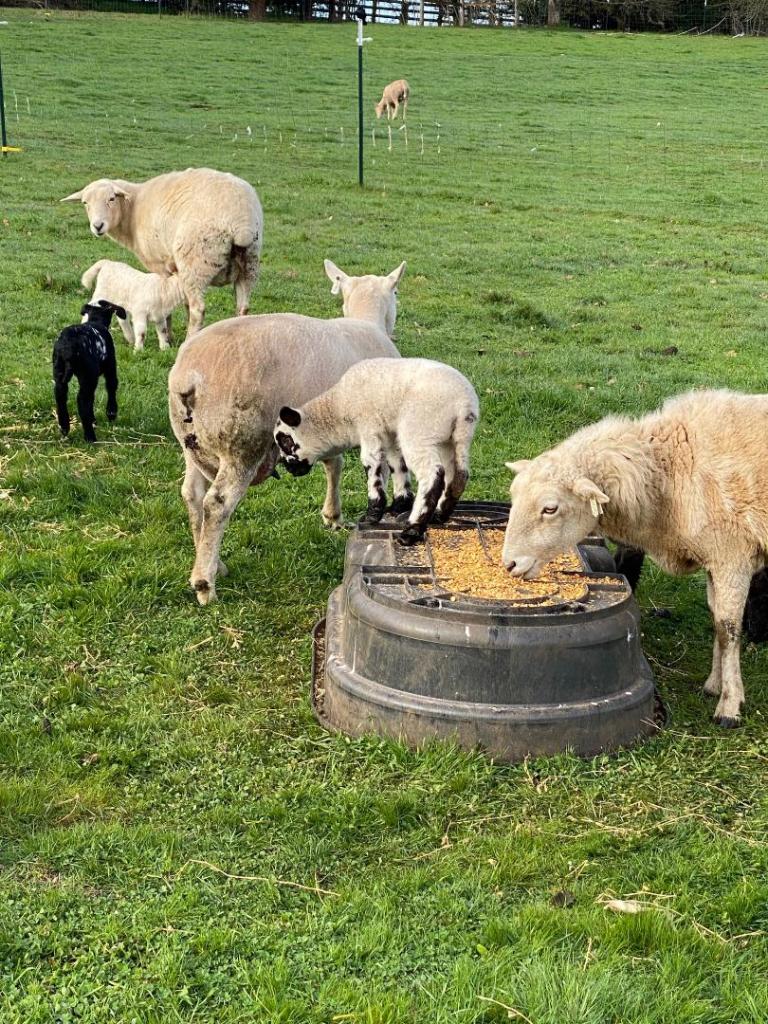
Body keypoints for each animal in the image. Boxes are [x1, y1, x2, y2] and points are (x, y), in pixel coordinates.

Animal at [53, 300, 126, 443]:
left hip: (59, 370)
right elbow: (112, 386)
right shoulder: (110, 365)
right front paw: (111, 413)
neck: (95, 321)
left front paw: (94, 420)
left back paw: (65, 427)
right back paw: (90, 437)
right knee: (83, 400)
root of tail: (68, 346)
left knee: (61, 395)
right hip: (88, 374)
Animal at [61, 168, 263, 339]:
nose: (97, 226)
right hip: (250, 262)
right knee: (243, 307)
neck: (132, 209)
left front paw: (168, 336)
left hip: (197, 262)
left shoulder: (161, 264)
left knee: (198, 309)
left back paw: (189, 338)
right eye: (85, 203)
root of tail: (240, 222)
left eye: (111, 198)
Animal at [168, 259, 407, 605]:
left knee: (192, 494)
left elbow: (334, 465)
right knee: (217, 503)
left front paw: (332, 516)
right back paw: (204, 585)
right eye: (397, 292)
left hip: (192, 443)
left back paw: (212, 562)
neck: (367, 322)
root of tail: (189, 377)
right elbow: (379, 475)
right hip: (244, 443)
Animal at [274, 358, 479, 546]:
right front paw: (398, 505)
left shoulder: (368, 427)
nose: (288, 467)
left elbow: (372, 465)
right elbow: (397, 465)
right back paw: (439, 515)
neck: (338, 407)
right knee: (459, 474)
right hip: (453, 440)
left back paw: (412, 531)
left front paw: (372, 515)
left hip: (419, 430)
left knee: (432, 475)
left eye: (285, 440)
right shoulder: (390, 435)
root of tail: (464, 405)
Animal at [500, 389, 768, 728]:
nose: (508, 564)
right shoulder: (715, 557)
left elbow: (727, 627)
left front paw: (729, 705)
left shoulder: (732, 556)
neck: (671, 471)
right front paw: (714, 684)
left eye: (550, 508)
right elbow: (716, 619)